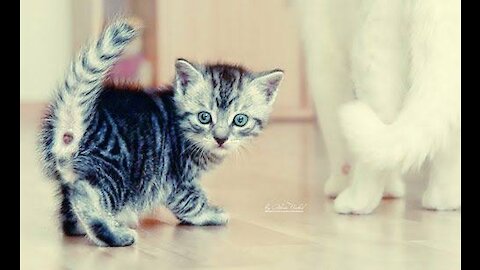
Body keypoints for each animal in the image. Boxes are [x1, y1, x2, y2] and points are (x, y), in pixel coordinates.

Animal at [39, 19, 284, 247]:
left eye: (240, 120)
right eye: (204, 117)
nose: (221, 138)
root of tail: (74, 124)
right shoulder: (176, 178)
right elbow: (191, 201)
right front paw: (210, 214)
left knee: (69, 213)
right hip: (116, 170)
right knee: (84, 194)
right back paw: (114, 234)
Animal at [296, 0, 462, 214]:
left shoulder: (324, 56)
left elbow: (335, 137)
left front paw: (340, 183)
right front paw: (391, 190)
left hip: (374, 50)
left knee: (374, 138)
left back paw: (355, 201)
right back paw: (444, 201)